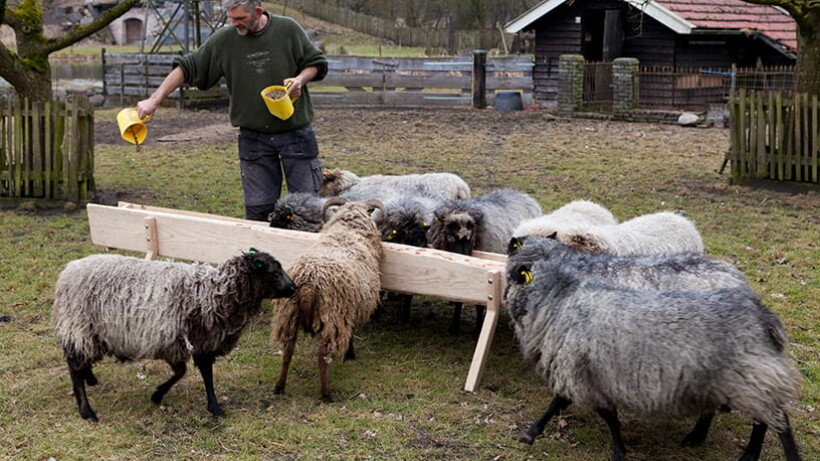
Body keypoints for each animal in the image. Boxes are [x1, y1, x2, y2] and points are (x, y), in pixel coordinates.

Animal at [52, 248, 294, 420]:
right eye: (274, 272)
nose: (294, 288)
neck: (212, 294)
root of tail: (67, 272)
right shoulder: (176, 342)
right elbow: (186, 372)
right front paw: (160, 395)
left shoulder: (201, 344)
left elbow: (199, 374)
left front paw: (211, 406)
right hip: (79, 325)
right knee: (74, 366)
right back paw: (86, 410)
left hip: (89, 334)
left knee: (82, 361)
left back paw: (91, 379)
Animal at [270, 196, 384, 400]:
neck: (346, 231)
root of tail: (308, 284)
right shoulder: (349, 311)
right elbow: (351, 332)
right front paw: (350, 354)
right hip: (331, 316)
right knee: (322, 356)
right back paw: (326, 394)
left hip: (289, 314)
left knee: (287, 352)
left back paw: (279, 387)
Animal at [426, 187, 540, 334]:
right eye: (451, 237)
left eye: (470, 238)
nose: (465, 257)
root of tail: (520, 193)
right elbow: (458, 299)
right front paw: (454, 326)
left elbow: (480, 304)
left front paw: (478, 327)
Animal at [502, 244, 804, 460]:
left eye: (513, 278)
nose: (502, 296)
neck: (560, 299)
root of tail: (763, 315)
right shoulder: (592, 375)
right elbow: (570, 405)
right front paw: (533, 432)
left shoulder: (579, 370)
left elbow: (594, 412)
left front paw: (618, 451)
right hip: (727, 379)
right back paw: (697, 437)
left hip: (753, 379)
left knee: (774, 422)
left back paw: (757, 455)